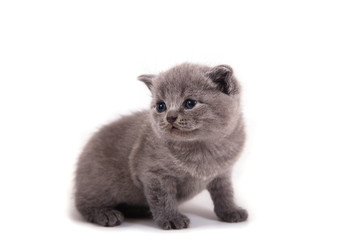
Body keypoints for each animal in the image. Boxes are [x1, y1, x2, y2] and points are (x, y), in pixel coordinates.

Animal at [74, 62, 249, 230]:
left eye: (190, 103)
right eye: (161, 106)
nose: (170, 117)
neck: (203, 149)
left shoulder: (222, 172)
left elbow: (225, 193)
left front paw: (231, 211)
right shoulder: (155, 173)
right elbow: (163, 199)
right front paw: (171, 219)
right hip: (98, 182)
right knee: (83, 203)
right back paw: (106, 213)